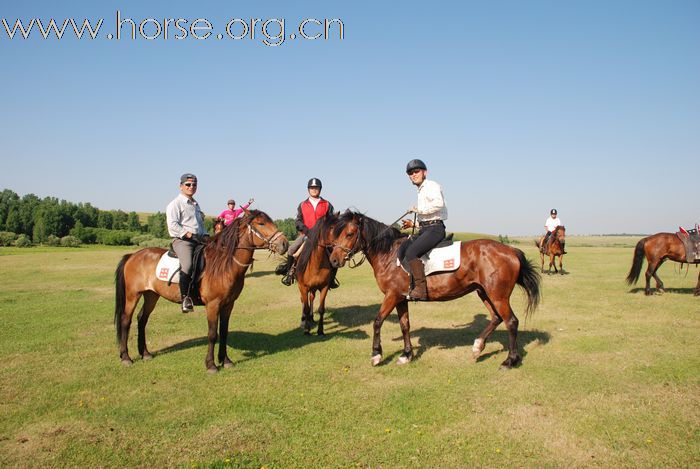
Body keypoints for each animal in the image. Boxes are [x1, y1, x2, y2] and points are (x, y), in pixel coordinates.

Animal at [114, 210, 288, 372]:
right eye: (261, 223)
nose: (285, 244)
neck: (224, 264)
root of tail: (133, 256)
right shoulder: (212, 305)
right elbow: (212, 334)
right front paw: (211, 364)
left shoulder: (228, 304)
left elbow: (224, 331)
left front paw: (225, 361)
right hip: (132, 295)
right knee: (126, 320)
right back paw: (126, 357)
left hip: (151, 295)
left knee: (142, 319)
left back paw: (145, 353)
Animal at [328, 210, 540, 368]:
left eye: (349, 234)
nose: (333, 260)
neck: (389, 254)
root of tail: (511, 250)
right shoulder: (401, 298)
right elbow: (405, 325)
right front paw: (406, 355)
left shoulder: (392, 295)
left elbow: (378, 321)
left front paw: (376, 355)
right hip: (484, 292)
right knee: (496, 317)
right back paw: (478, 347)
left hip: (498, 296)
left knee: (511, 321)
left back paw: (510, 360)